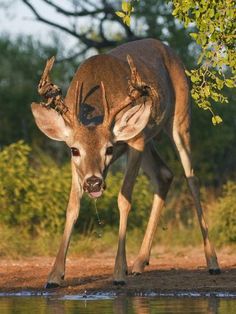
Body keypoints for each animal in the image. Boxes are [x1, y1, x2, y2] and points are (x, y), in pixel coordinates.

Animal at [30, 38, 220, 288]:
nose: (93, 182)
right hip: (149, 138)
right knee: (164, 174)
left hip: (179, 119)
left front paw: (119, 272)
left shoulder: (135, 141)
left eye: (109, 148)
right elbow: (72, 206)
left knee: (192, 179)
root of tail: (166, 48)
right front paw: (54, 275)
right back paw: (140, 262)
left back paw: (212, 262)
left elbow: (124, 198)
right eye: (75, 150)